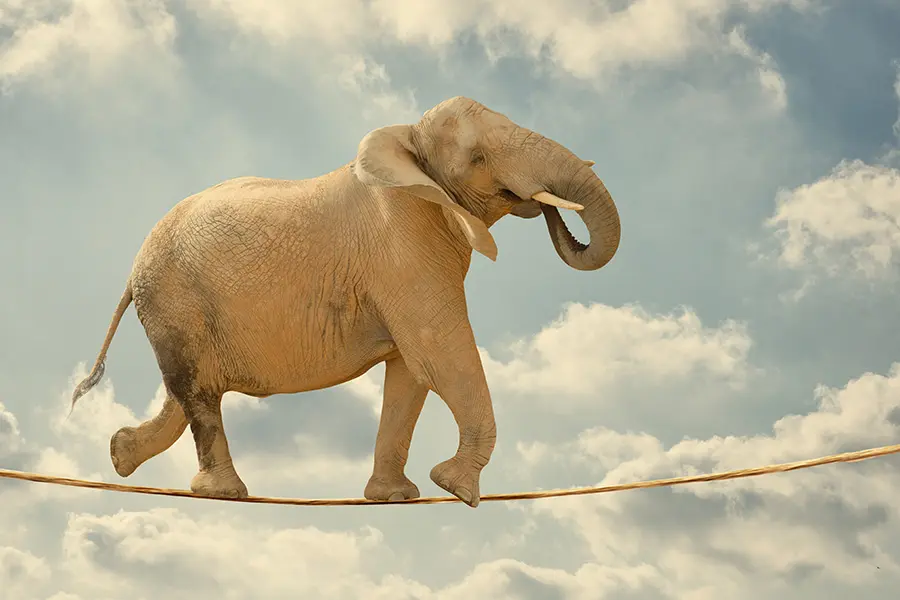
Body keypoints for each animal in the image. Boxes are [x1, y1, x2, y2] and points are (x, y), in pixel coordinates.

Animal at [70, 96, 620, 507]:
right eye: (478, 159)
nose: (548, 207)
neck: (408, 145)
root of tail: (133, 269)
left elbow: (410, 373)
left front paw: (395, 497)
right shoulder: (404, 247)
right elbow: (437, 354)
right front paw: (455, 488)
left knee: (184, 390)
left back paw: (120, 455)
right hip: (175, 298)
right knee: (198, 391)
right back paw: (224, 493)